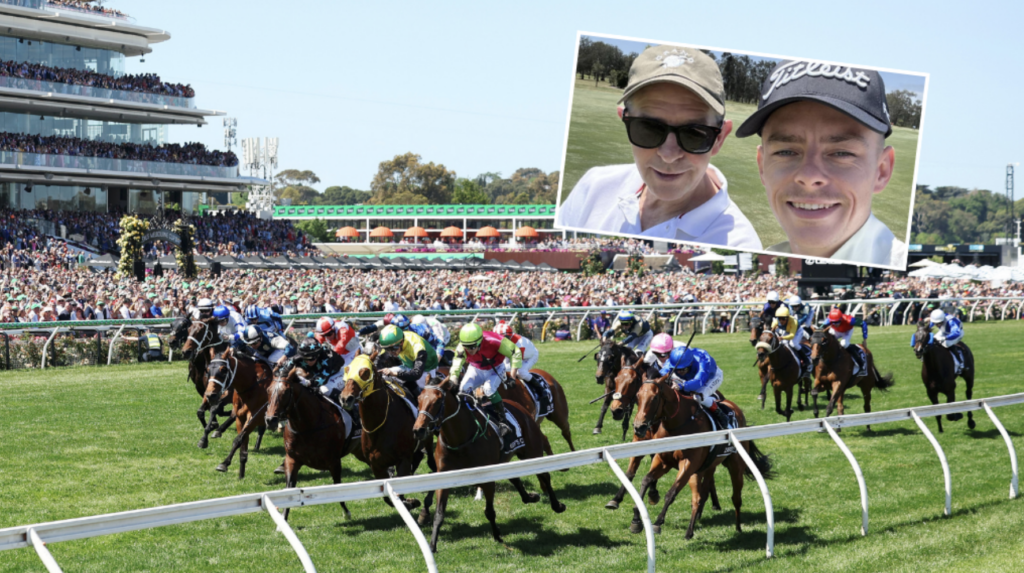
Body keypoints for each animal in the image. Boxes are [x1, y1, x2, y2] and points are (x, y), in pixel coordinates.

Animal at [197, 349, 272, 478]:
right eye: (208, 370)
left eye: (223, 370)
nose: (210, 394)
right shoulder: (239, 416)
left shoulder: (255, 416)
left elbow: (238, 439)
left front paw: (224, 464)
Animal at [264, 364, 368, 521]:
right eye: (268, 390)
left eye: (286, 391)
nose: (270, 420)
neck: (308, 426)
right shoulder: (292, 459)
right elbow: (289, 489)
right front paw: (283, 519)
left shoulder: (334, 461)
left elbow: (338, 486)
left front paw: (346, 512)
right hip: (360, 452)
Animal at [339, 354, 436, 509]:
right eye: (347, 369)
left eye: (365, 372)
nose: (345, 398)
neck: (379, 425)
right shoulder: (376, 465)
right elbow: (388, 498)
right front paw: (410, 502)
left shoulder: (403, 459)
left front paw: (411, 502)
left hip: (426, 438)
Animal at [409, 376, 569, 552]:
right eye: (418, 399)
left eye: (438, 400)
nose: (418, 430)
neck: (460, 438)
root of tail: (519, 406)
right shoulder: (444, 477)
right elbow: (439, 514)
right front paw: (431, 545)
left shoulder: (487, 477)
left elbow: (489, 511)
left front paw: (498, 536)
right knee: (515, 478)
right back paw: (530, 497)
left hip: (531, 452)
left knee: (545, 476)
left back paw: (556, 505)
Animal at [626, 376, 770, 536]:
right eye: (638, 396)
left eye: (655, 397)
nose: (639, 427)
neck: (678, 425)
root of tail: (736, 409)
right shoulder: (663, 461)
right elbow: (646, 480)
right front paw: (636, 519)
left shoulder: (688, 464)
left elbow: (671, 492)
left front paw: (657, 522)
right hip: (708, 466)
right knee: (703, 493)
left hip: (736, 464)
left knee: (736, 497)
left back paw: (738, 528)